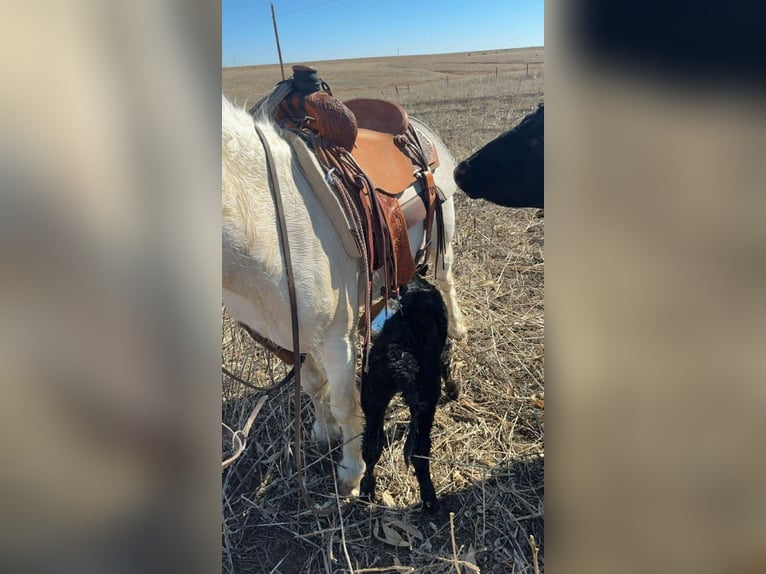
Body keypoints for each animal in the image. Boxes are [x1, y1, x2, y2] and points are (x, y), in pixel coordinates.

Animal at [222, 91, 467, 496]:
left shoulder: (336, 339)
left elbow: (342, 400)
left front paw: (351, 471)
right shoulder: (286, 338)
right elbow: (312, 387)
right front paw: (323, 431)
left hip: (442, 234)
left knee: (445, 280)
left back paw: (459, 328)